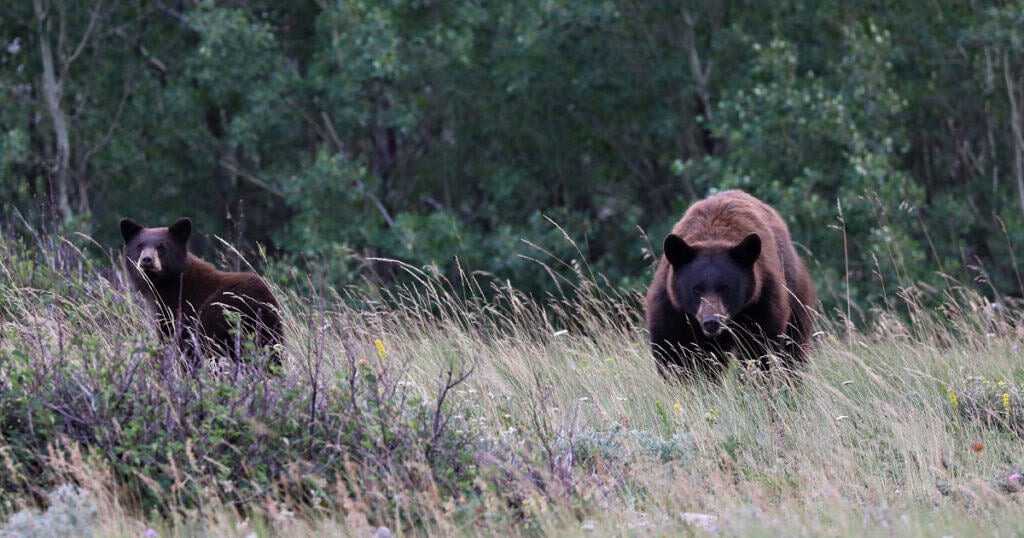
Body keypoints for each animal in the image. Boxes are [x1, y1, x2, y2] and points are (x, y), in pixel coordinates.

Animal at [645, 190, 816, 380]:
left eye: (725, 288)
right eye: (696, 288)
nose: (711, 322)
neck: (712, 234)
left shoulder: (761, 300)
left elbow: (758, 349)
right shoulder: (672, 306)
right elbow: (673, 350)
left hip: (795, 294)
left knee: (793, 347)